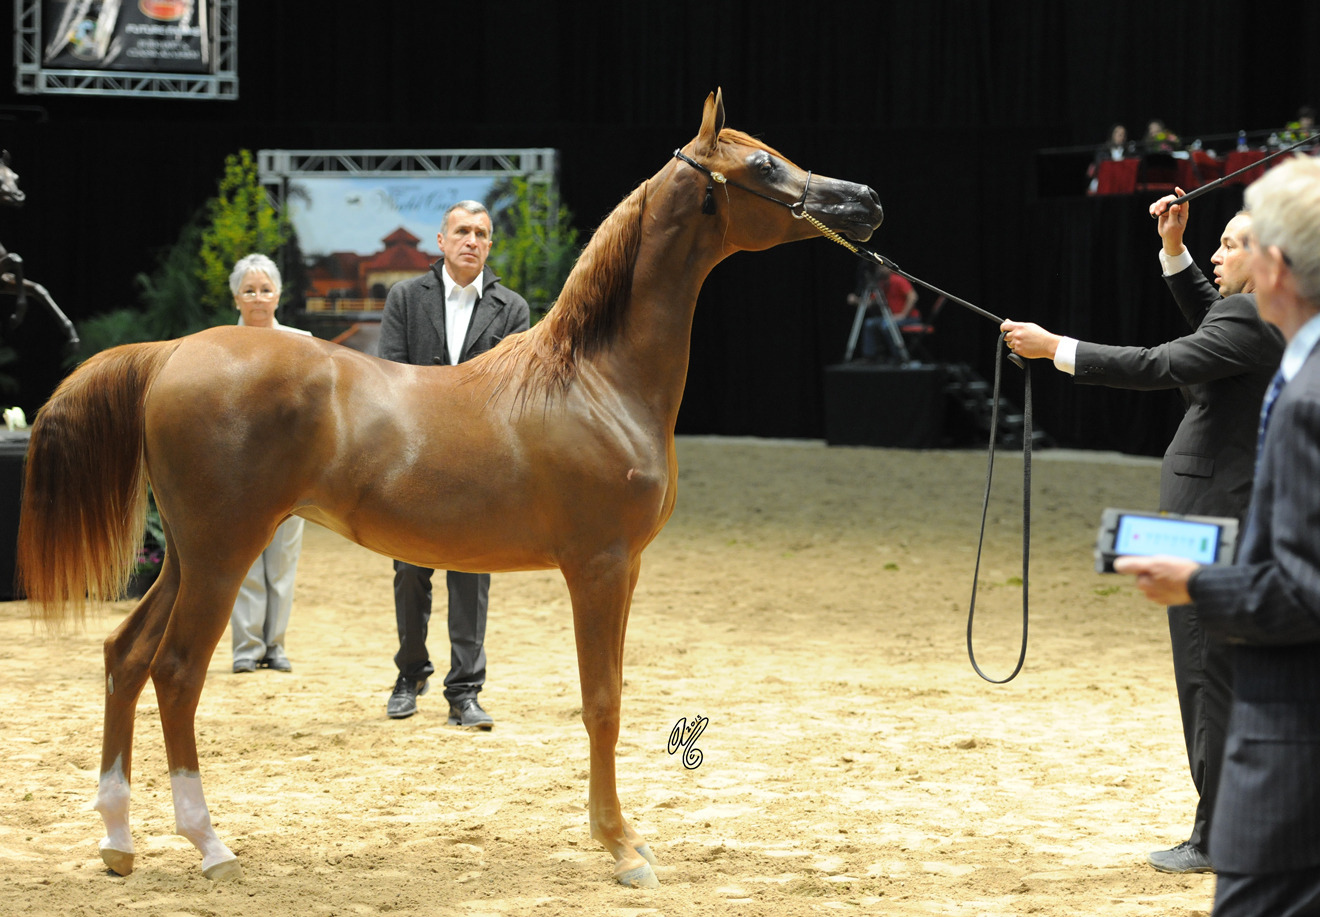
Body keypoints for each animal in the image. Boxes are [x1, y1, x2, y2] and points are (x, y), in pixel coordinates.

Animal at [16, 89, 883, 888]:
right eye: (762, 164)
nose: (865, 201)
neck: (594, 380)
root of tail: (170, 353)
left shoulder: (625, 567)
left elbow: (609, 692)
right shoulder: (599, 565)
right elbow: (601, 701)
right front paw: (622, 848)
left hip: (186, 556)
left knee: (125, 655)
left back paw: (118, 841)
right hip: (224, 553)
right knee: (175, 671)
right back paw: (209, 843)